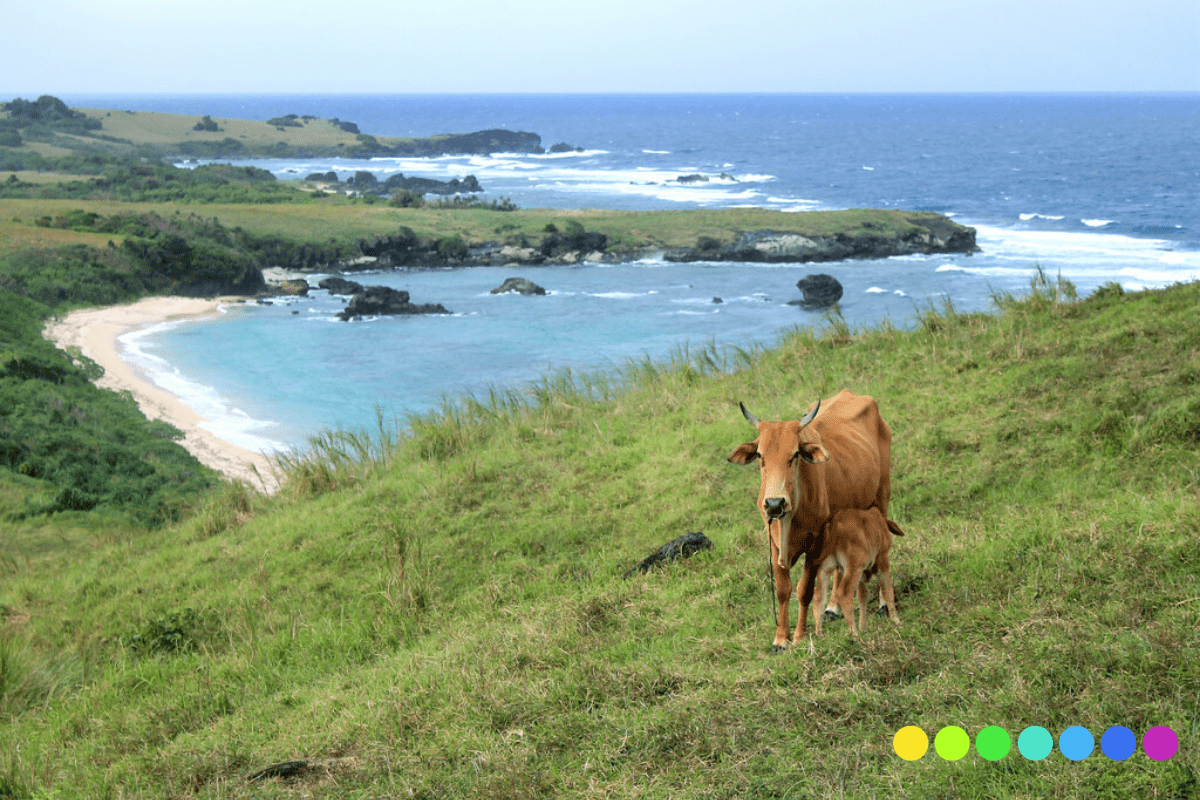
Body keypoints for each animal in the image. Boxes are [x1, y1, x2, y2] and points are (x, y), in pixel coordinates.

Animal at [796, 506, 902, 638]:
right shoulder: (882, 560)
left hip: (825, 569)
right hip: (852, 568)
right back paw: (854, 633)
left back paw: (820, 634)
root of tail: (833, 525)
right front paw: (896, 620)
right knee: (844, 593)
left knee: (819, 598)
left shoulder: (862, 573)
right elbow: (888, 591)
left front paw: (863, 627)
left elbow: (863, 597)